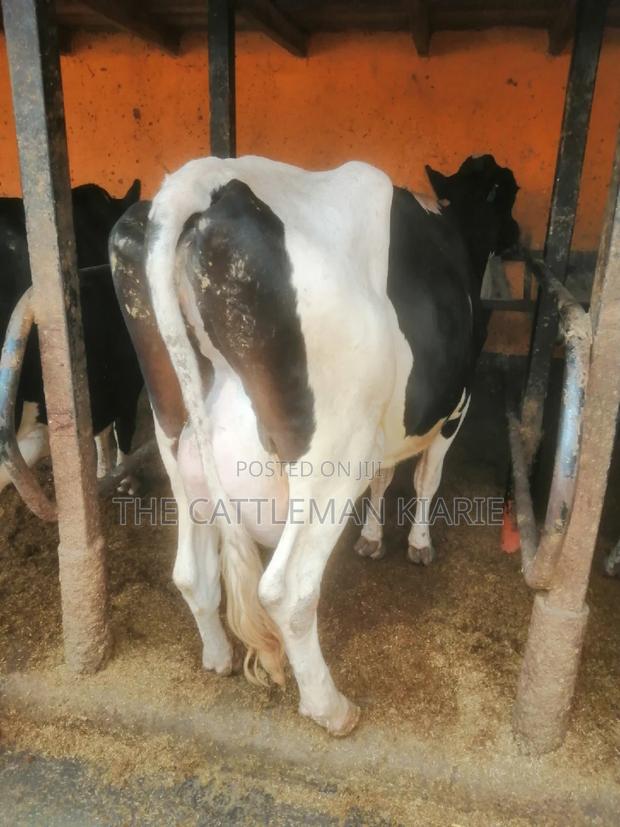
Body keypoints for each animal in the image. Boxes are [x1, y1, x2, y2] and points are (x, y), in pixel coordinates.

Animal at [110, 154, 519, 736]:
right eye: (507, 194)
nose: (518, 235)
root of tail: (205, 181)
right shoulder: (453, 407)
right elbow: (426, 479)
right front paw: (418, 544)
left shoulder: (383, 429)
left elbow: (386, 477)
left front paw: (372, 537)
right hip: (330, 458)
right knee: (287, 591)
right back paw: (331, 708)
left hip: (178, 440)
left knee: (189, 571)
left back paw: (218, 658)